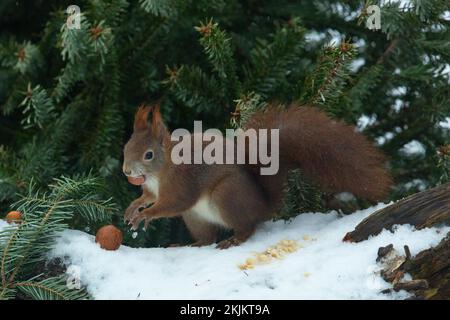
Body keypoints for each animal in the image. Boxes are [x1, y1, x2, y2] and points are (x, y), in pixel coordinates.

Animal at [122, 104, 390, 249]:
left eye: (148, 155)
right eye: (126, 147)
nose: (126, 171)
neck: (159, 173)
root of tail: (262, 205)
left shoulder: (182, 183)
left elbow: (174, 203)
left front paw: (146, 215)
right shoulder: (152, 189)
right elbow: (147, 197)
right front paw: (134, 207)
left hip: (226, 195)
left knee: (246, 227)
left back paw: (234, 239)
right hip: (195, 218)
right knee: (207, 237)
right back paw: (192, 244)